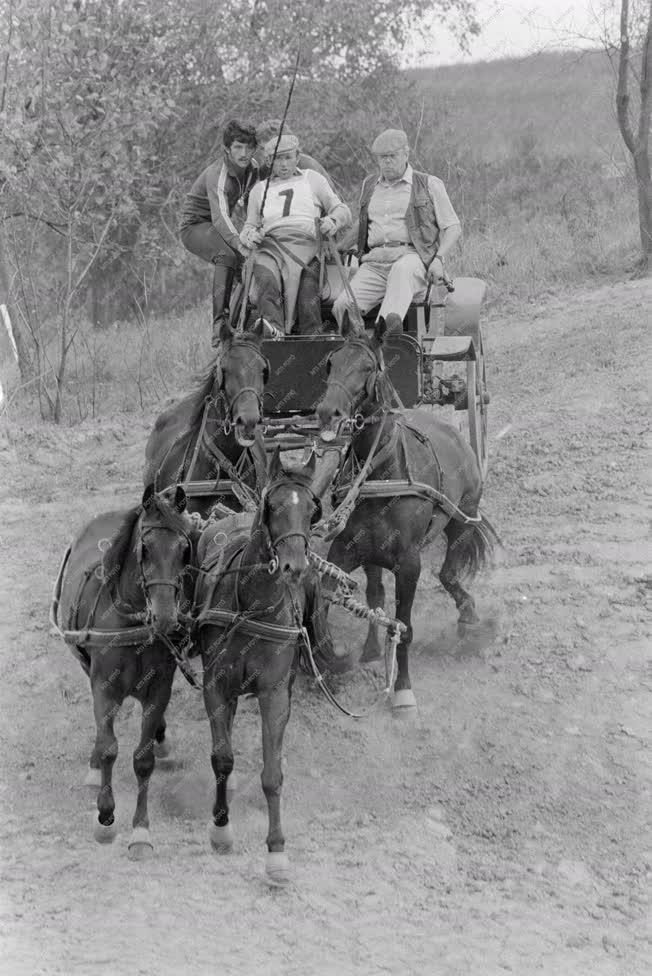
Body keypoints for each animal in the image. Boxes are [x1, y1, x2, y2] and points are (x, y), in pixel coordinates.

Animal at [54, 484, 199, 856]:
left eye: (185, 550)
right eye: (144, 549)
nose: (166, 619)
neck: (133, 622)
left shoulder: (159, 688)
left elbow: (143, 760)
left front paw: (141, 830)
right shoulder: (104, 688)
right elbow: (109, 748)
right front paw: (105, 816)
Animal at [191, 450, 328, 884]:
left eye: (312, 509)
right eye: (275, 505)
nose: (294, 566)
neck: (253, 604)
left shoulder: (274, 692)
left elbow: (272, 775)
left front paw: (277, 852)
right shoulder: (216, 685)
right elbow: (222, 758)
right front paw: (220, 831)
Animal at [318, 320, 500, 708]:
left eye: (367, 367)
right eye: (331, 363)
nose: (327, 412)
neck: (382, 472)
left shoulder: (408, 564)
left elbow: (404, 627)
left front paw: (402, 689)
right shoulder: (347, 549)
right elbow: (332, 598)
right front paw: (334, 658)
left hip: (462, 519)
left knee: (448, 574)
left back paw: (468, 615)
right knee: (381, 594)